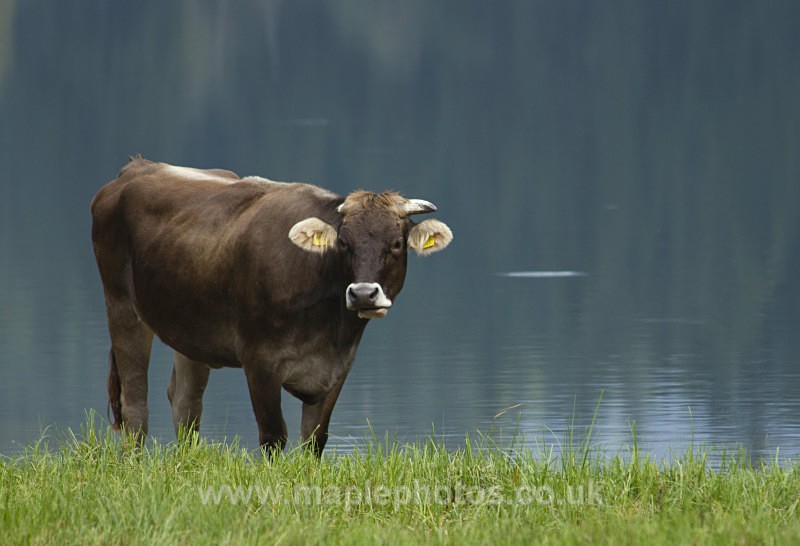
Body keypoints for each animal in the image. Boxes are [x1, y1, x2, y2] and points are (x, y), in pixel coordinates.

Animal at [90, 157, 452, 455]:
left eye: (396, 243)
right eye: (343, 243)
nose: (363, 294)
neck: (327, 328)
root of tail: (137, 166)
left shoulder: (338, 367)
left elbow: (315, 439)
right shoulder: (259, 360)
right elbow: (273, 436)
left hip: (188, 327)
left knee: (185, 403)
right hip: (120, 304)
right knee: (135, 405)